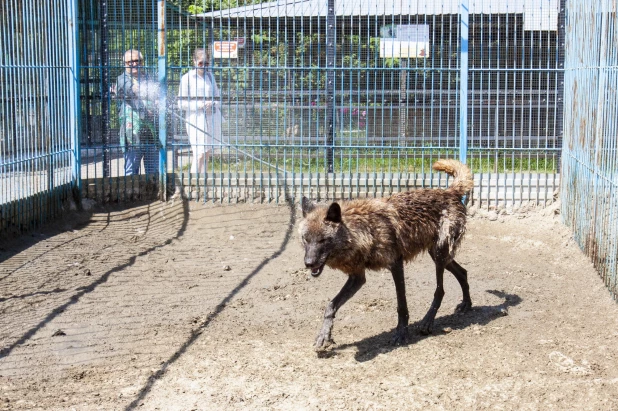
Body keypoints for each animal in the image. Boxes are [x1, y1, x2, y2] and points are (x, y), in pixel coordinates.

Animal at [298, 159, 472, 350]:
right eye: (305, 239)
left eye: (323, 240)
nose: (308, 263)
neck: (364, 230)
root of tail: (450, 192)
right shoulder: (357, 277)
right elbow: (330, 305)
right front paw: (324, 335)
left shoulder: (396, 264)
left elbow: (401, 305)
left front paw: (401, 333)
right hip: (439, 255)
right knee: (463, 272)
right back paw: (466, 305)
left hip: (440, 255)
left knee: (440, 290)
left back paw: (427, 322)